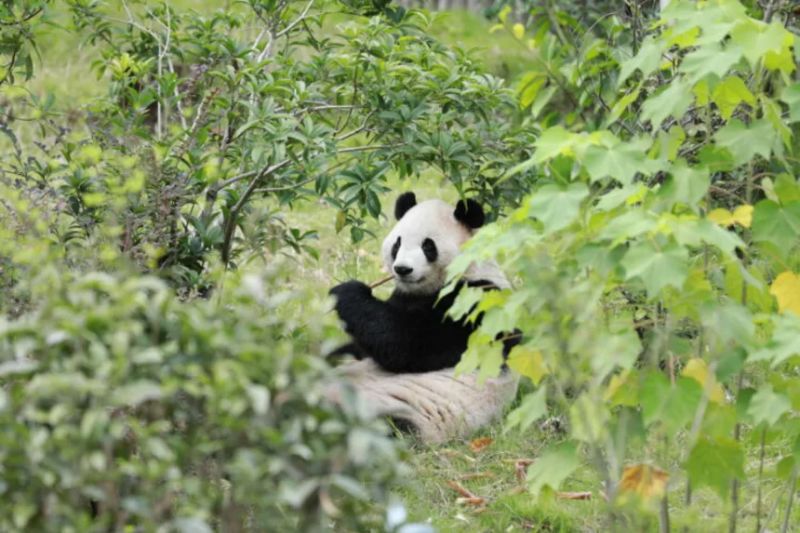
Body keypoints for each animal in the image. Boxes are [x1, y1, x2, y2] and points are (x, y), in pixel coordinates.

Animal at [328, 191, 518, 373]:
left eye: (428, 246)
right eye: (397, 244)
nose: (402, 269)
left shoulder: (474, 302)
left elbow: (407, 342)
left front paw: (347, 292)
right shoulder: (402, 296)